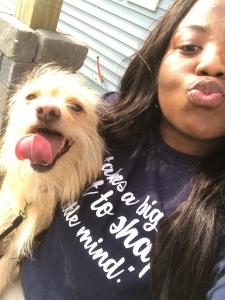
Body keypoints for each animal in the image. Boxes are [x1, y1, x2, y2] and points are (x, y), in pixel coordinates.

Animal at [0, 65, 104, 292]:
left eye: (76, 107)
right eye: (31, 97)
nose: (47, 110)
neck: (38, 185)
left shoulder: (23, 239)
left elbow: (3, 269)